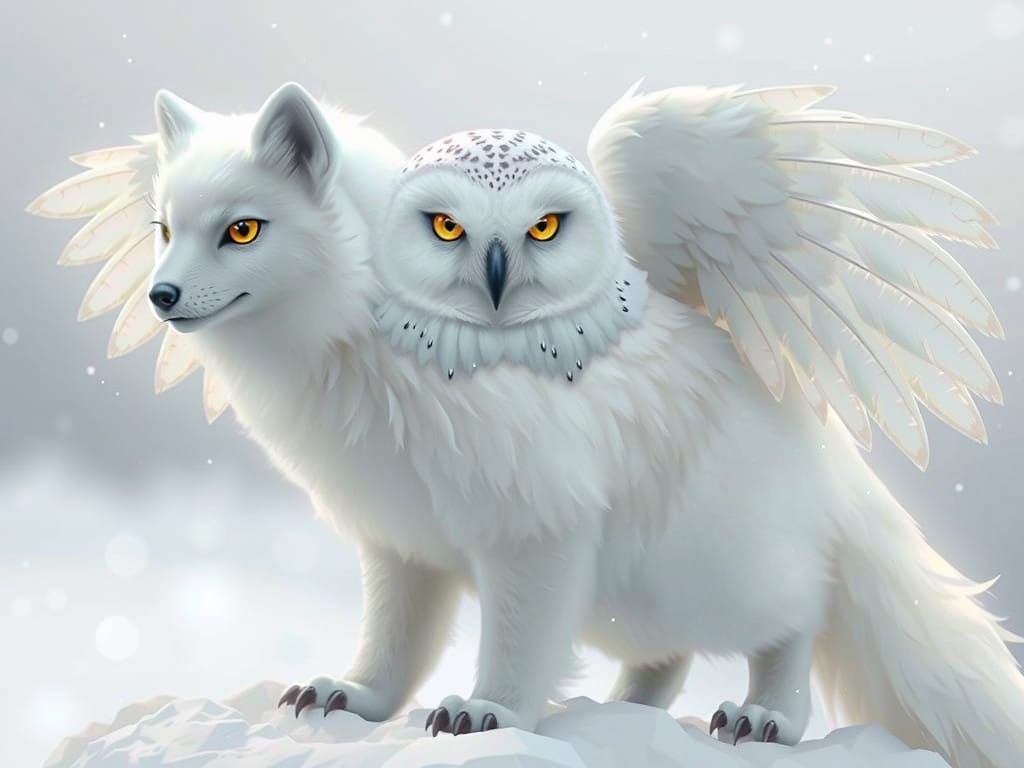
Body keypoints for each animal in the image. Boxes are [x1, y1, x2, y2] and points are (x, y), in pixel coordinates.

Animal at [28, 81, 1024, 767]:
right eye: (163, 229)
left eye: (241, 230)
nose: (160, 297)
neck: (358, 347)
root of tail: (833, 461)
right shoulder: (402, 538)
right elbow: (393, 643)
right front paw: (352, 695)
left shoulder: (535, 527)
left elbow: (515, 643)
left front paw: (489, 714)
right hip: (633, 597)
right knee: (665, 661)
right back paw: (631, 712)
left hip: (708, 571)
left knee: (799, 615)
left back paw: (765, 714)